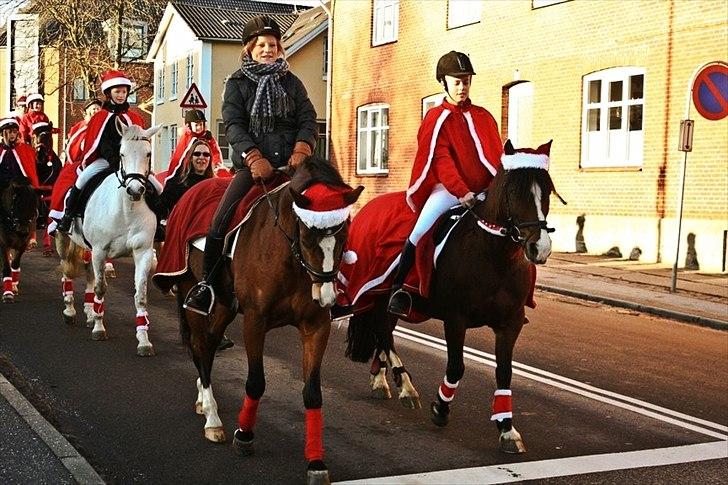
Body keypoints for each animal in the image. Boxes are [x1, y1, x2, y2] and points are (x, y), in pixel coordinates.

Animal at [62, 123, 161, 354]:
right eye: (122, 153)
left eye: (148, 153)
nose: (136, 189)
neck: (126, 209)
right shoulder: (100, 251)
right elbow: (101, 287)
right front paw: (99, 328)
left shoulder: (143, 252)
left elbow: (141, 296)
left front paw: (144, 340)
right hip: (66, 241)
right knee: (67, 271)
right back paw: (70, 310)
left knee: (89, 273)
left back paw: (90, 312)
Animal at [159, 158, 364, 484]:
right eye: (307, 237)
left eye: (344, 236)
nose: (327, 297)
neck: (289, 257)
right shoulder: (255, 321)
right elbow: (255, 382)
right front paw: (244, 435)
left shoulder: (316, 326)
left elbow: (313, 393)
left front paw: (316, 462)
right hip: (194, 296)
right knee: (201, 346)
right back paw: (213, 419)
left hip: (224, 307)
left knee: (209, 345)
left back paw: (204, 401)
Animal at [346, 140, 564, 454]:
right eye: (513, 192)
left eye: (546, 191)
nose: (540, 248)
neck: (495, 257)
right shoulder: (456, 319)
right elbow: (456, 366)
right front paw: (440, 408)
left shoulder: (509, 325)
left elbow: (504, 372)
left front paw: (507, 429)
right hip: (378, 294)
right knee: (383, 334)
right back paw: (406, 386)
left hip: (384, 302)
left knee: (383, 332)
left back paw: (381, 381)